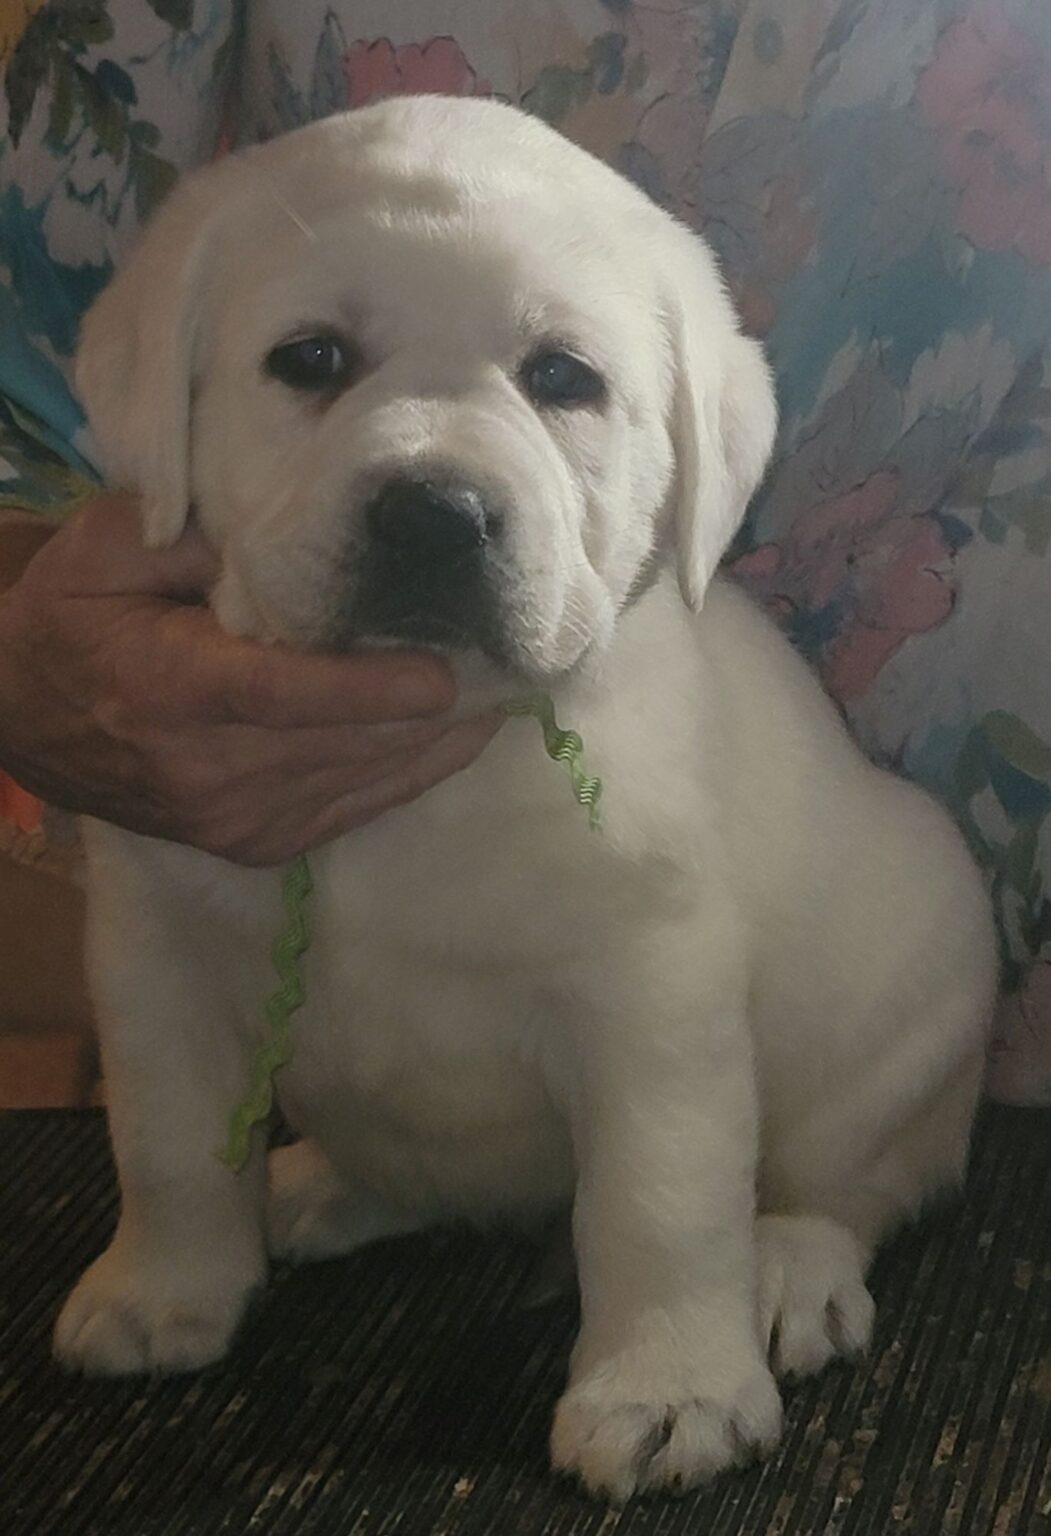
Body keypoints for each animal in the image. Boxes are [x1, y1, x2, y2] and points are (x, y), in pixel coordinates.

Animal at [53, 96, 995, 1499]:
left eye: (563, 379)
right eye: (310, 358)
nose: (434, 514)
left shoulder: (652, 996)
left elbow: (657, 1205)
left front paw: (667, 1389)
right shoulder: (152, 949)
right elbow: (165, 1141)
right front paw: (161, 1291)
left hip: (917, 986)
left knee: (846, 1181)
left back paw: (790, 1274)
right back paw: (315, 1188)